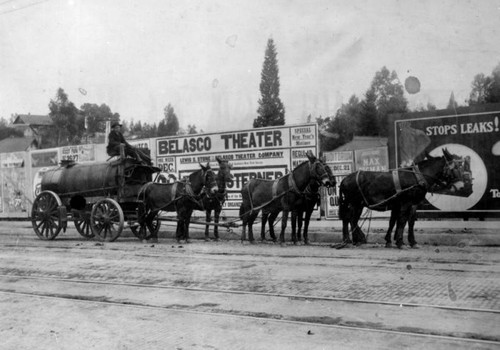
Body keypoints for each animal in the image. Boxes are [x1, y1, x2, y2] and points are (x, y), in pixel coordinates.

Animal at [338, 148, 466, 249]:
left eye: (461, 167)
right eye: (455, 168)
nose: (461, 186)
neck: (417, 177)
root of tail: (344, 179)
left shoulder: (410, 204)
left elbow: (406, 222)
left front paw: (409, 242)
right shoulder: (406, 203)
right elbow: (402, 221)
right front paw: (400, 242)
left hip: (355, 204)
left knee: (348, 219)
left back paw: (351, 240)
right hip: (355, 203)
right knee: (351, 219)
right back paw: (355, 239)